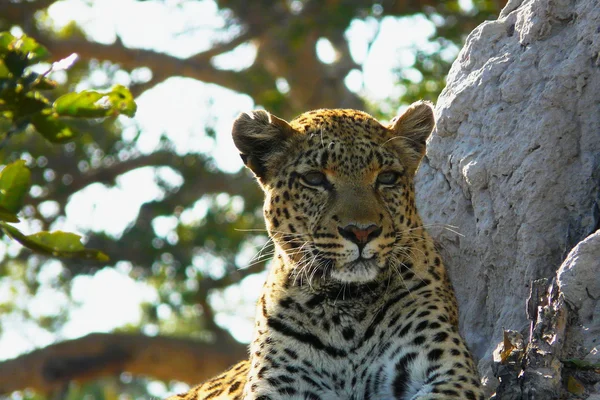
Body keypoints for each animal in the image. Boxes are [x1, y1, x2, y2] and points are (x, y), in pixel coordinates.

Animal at [166, 101, 486, 400]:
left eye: (387, 178)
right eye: (314, 179)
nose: (362, 232)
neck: (346, 308)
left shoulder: (449, 373)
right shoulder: (278, 388)